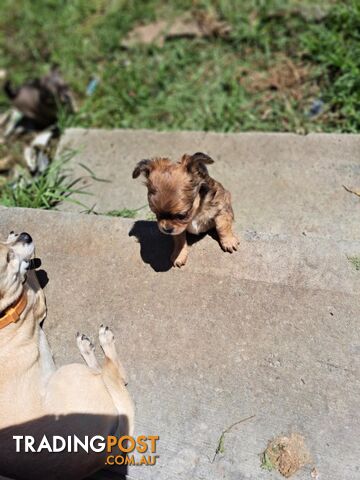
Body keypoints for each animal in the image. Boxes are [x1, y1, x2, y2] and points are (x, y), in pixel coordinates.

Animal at [0, 232, 134, 476]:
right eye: (8, 258)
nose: (24, 234)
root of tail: (102, 454)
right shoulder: (37, 303)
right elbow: (31, 280)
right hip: (69, 374)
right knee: (114, 375)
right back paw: (101, 343)